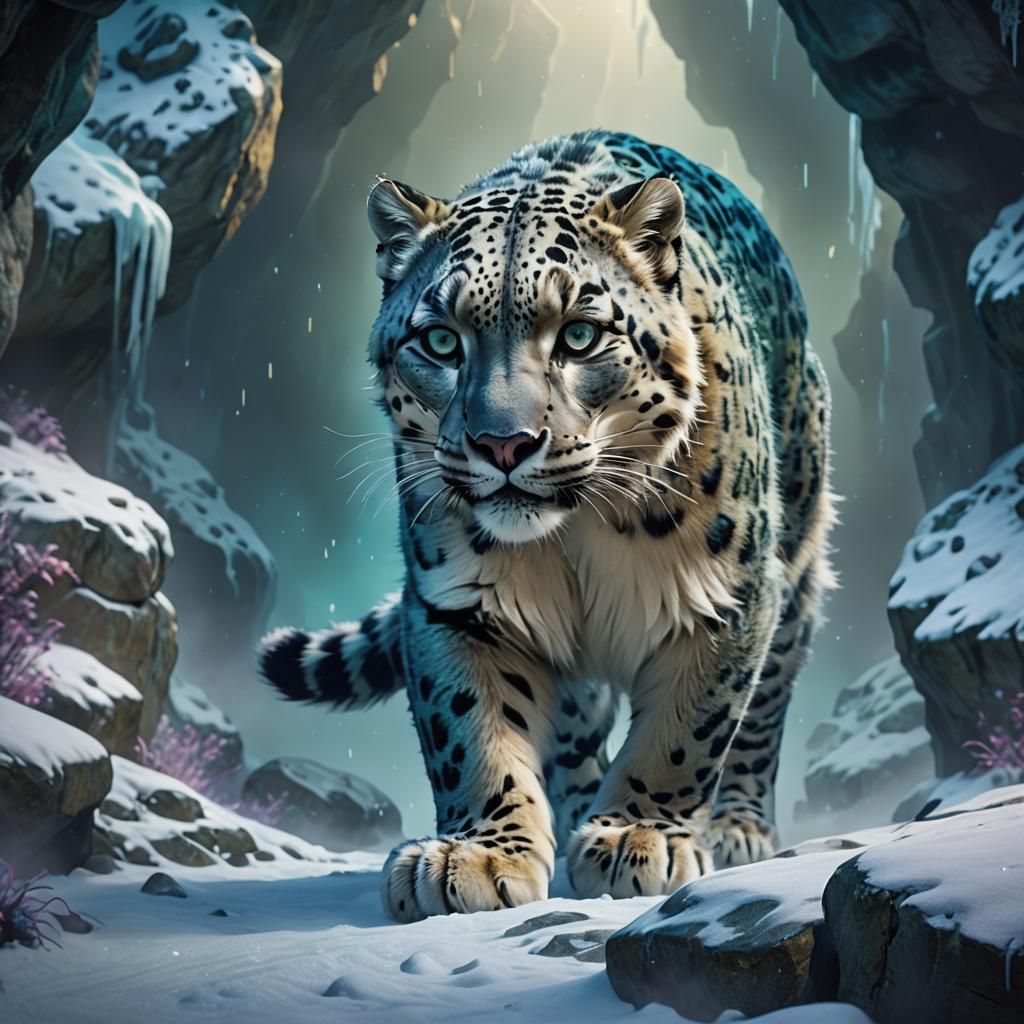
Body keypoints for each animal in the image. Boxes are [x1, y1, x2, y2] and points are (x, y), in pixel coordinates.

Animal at [258, 130, 835, 922]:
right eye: (441, 341)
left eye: (581, 335)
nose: (503, 444)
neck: (577, 536)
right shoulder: (455, 601)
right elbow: (470, 729)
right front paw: (478, 855)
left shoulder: (726, 595)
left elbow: (687, 729)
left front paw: (638, 837)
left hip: (796, 559)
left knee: (767, 699)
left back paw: (738, 825)